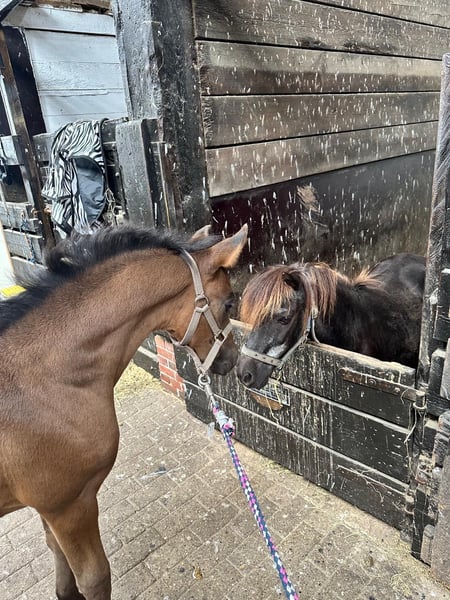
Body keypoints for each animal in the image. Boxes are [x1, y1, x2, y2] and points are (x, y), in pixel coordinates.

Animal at [0, 223, 247, 600]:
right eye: (230, 301)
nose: (231, 360)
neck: (45, 379)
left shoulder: (47, 508)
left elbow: (57, 559)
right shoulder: (70, 506)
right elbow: (94, 578)